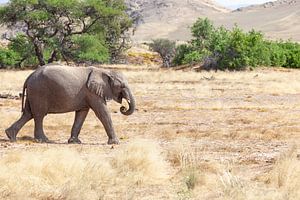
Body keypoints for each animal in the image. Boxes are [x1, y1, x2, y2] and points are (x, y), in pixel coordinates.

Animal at [4, 64, 135, 144]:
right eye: (122, 86)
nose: (123, 108)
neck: (104, 71)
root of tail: (29, 76)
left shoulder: (87, 95)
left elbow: (81, 114)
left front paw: (74, 142)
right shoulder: (92, 93)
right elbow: (102, 113)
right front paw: (116, 143)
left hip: (33, 92)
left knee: (28, 114)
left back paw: (11, 136)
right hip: (39, 91)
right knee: (39, 115)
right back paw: (43, 140)